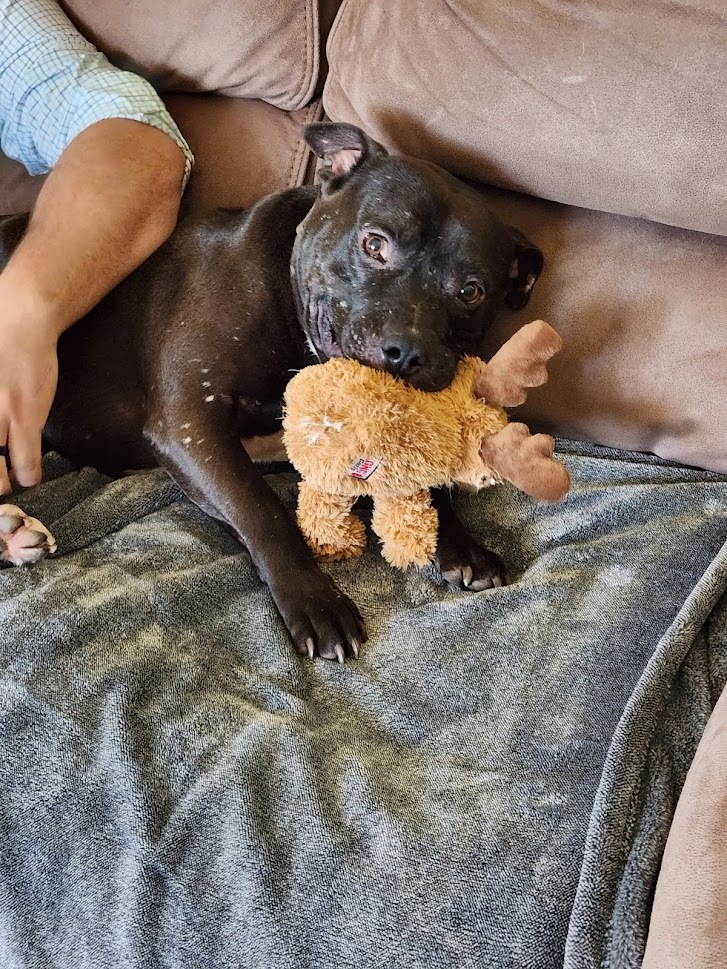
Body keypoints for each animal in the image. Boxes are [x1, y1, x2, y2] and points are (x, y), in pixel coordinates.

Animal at [0, 125, 540, 660]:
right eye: (374, 244)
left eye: (471, 291)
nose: (407, 352)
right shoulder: (191, 424)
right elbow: (262, 510)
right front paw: (315, 600)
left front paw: (462, 545)